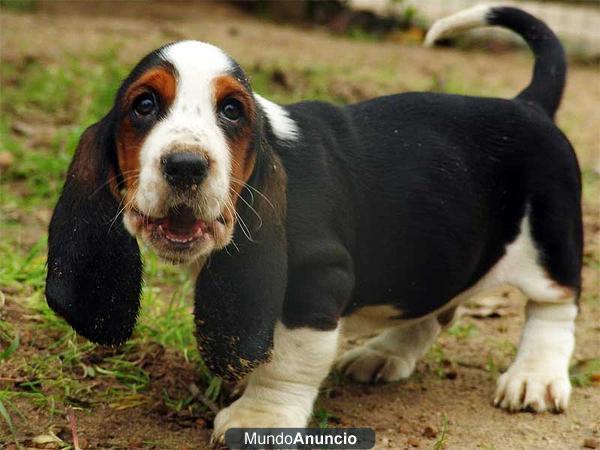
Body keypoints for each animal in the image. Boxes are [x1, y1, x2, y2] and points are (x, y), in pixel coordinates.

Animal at [45, 6, 580, 442]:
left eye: (232, 111)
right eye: (144, 106)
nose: (185, 166)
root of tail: (527, 104)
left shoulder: (314, 280)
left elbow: (289, 360)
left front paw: (259, 418)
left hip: (548, 242)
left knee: (553, 307)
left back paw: (534, 378)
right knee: (435, 311)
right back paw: (383, 355)